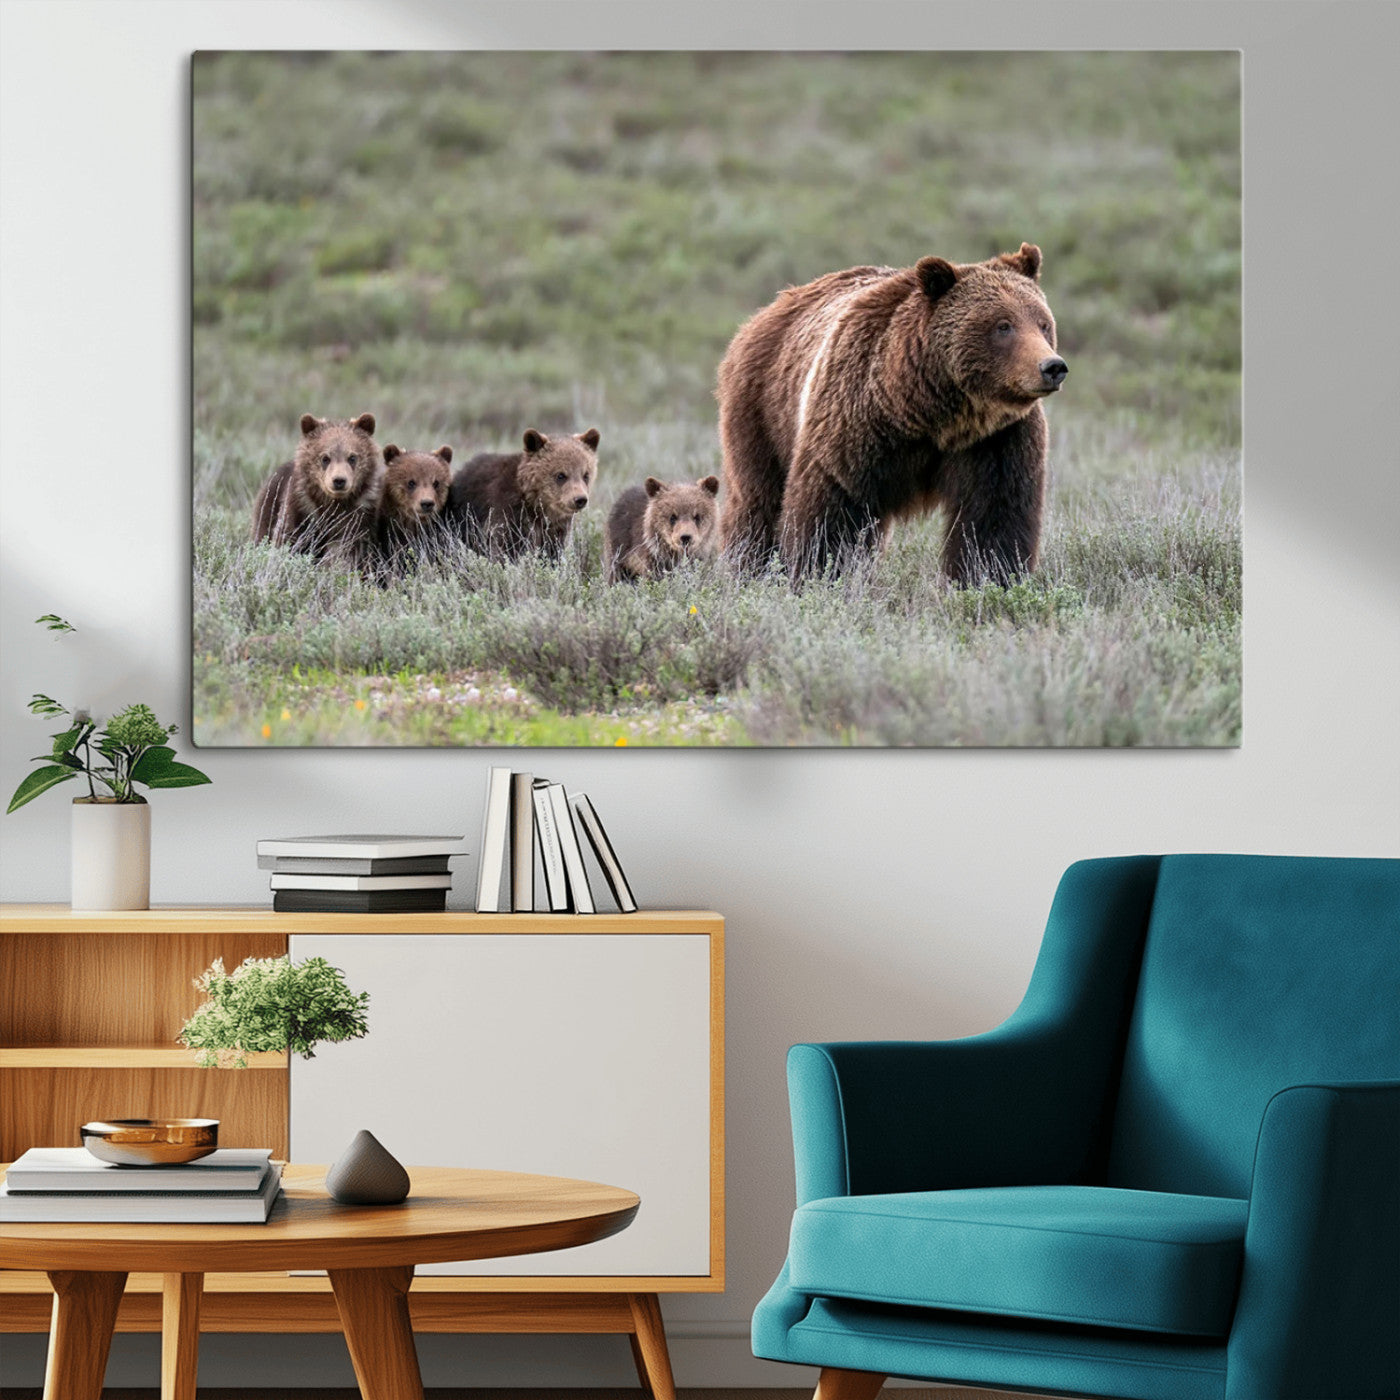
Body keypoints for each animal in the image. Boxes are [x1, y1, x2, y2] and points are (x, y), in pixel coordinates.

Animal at [251, 412, 384, 565]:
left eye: (352, 457)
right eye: (325, 458)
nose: (339, 480)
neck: (333, 503)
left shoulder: (359, 514)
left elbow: (349, 547)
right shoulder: (301, 507)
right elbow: (287, 538)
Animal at [446, 428, 600, 559]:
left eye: (586, 475)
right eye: (561, 475)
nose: (580, 499)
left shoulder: (555, 528)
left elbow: (552, 551)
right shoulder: (508, 513)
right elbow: (507, 548)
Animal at [715, 243, 1067, 584]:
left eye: (1043, 323)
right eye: (1003, 325)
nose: (1052, 367)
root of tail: (768, 310)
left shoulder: (996, 439)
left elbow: (994, 517)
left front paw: (989, 578)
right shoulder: (856, 422)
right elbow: (832, 509)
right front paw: (817, 575)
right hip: (763, 408)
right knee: (757, 500)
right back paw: (748, 567)